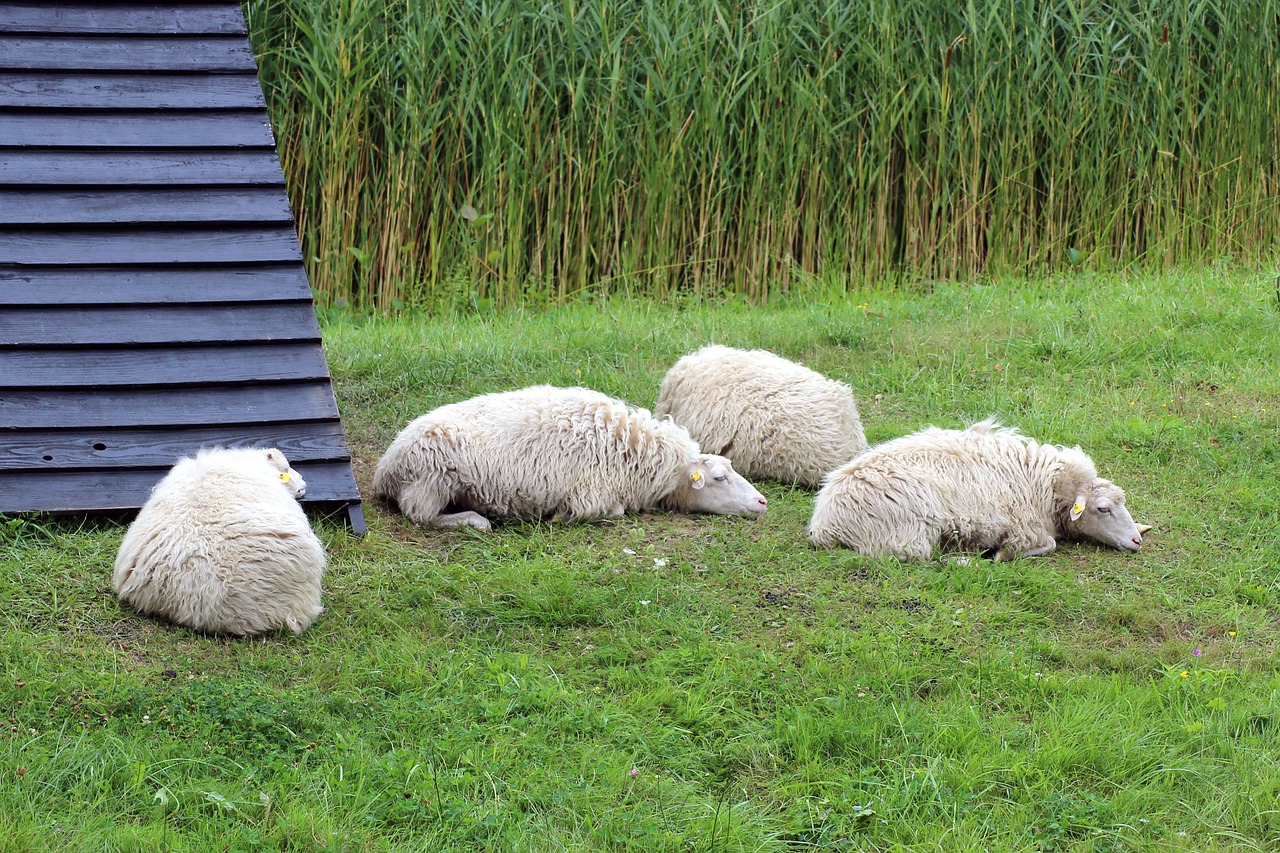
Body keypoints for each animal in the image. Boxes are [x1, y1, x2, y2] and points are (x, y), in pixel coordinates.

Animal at [371, 384, 768, 527]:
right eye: (719, 478)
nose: (763, 502)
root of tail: (385, 469)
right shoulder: (590, 495)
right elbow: (612, 511)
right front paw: (558, 517)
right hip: (431, 479)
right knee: (420, 515)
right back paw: (473, 520)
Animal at [803, 417, 1146, 560]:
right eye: (1103, 509)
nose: (1137, 541)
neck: (1042, 485)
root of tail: (825, 523)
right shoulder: (1024, 527)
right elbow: (1048, 545)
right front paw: (1000, 554)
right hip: (908, 532)